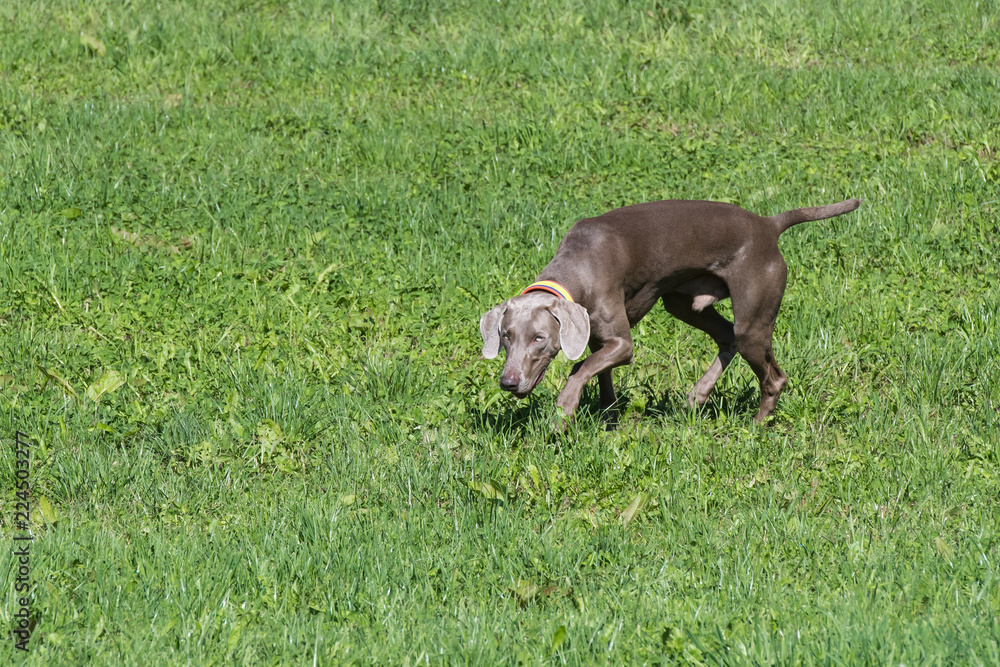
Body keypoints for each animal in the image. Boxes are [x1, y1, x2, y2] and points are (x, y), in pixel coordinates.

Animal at [478, 198, 860, 426]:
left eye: (540, 338)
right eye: (505, 336)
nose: (508, 382)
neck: (578, 264)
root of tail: (769, 225)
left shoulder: (622, 344)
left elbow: (579, 367)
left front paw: (566, 406)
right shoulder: (599, 337)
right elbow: (598, 373)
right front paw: (608, 416)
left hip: (754, 319)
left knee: (772, 375)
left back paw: (756, 426)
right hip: (681, 302)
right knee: (727, 337)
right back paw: (698, 394)